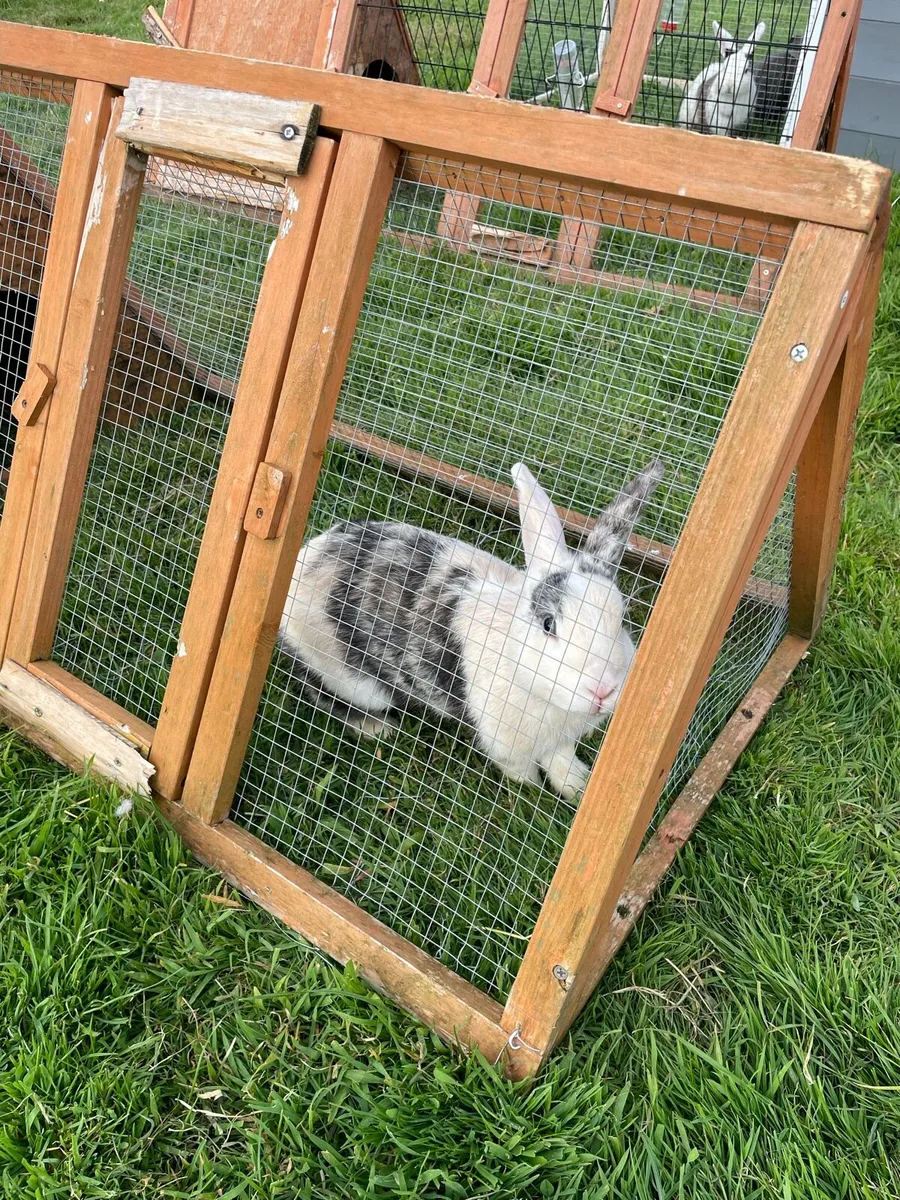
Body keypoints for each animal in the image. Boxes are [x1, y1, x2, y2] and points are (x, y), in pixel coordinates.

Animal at [279, 459, 663, 799]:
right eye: (548, 623)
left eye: (621, 618)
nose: (603, 691)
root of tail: (303, 559)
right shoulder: (505, 741)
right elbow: (519, 768)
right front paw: (529, 787)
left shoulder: (561, 741)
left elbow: (562, 760)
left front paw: (576, 786)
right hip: (347, 676)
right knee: (320, 692)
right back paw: (376, 727)